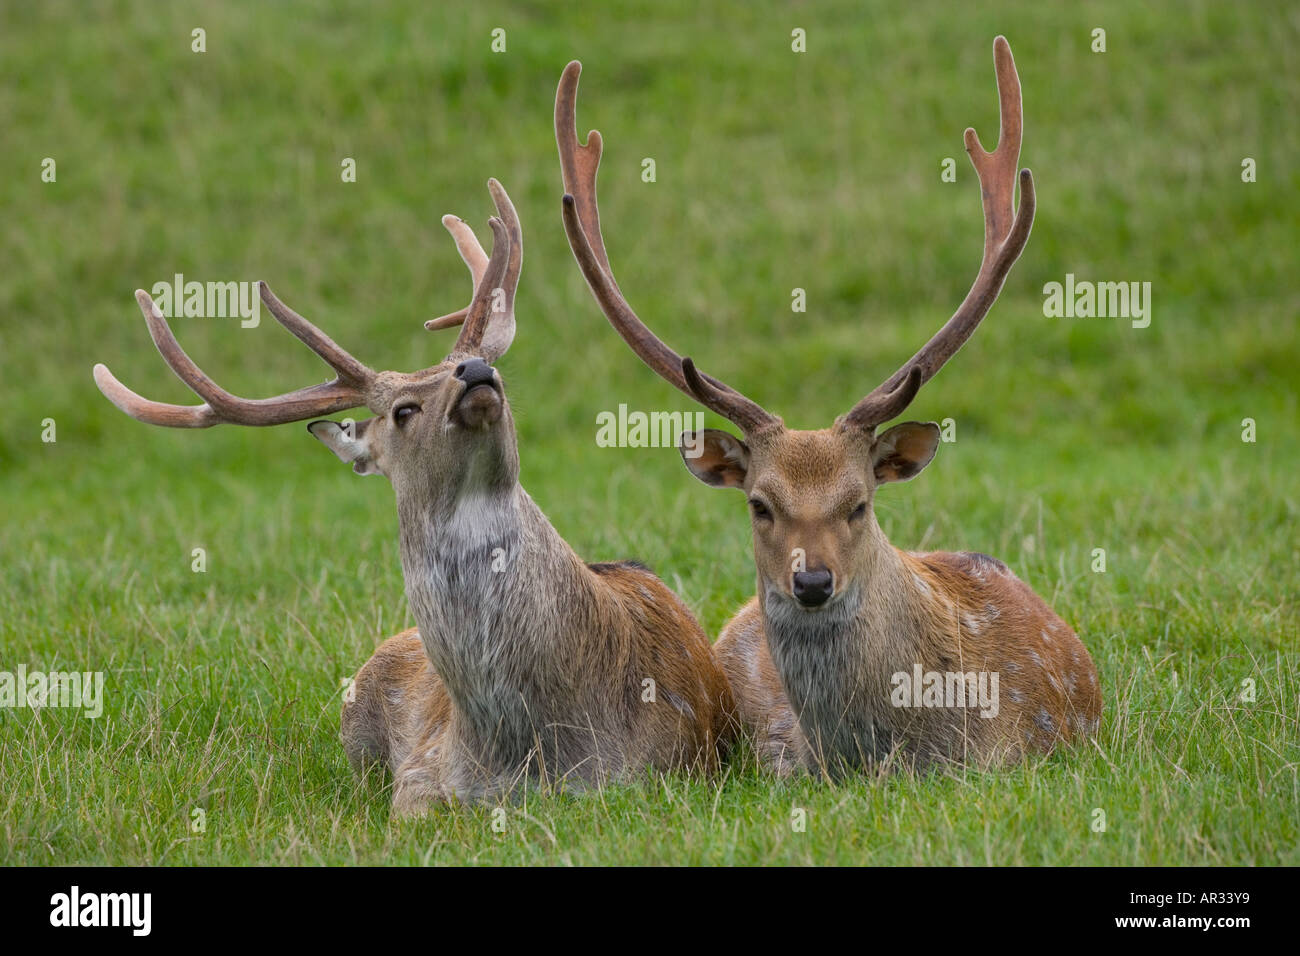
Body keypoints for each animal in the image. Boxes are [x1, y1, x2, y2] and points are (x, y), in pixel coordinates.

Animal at [93, 179, 735, 812]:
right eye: (404, 410)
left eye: (483, 369)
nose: (475, 369)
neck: (540, 749)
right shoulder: (422, 773)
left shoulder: (664, 768)